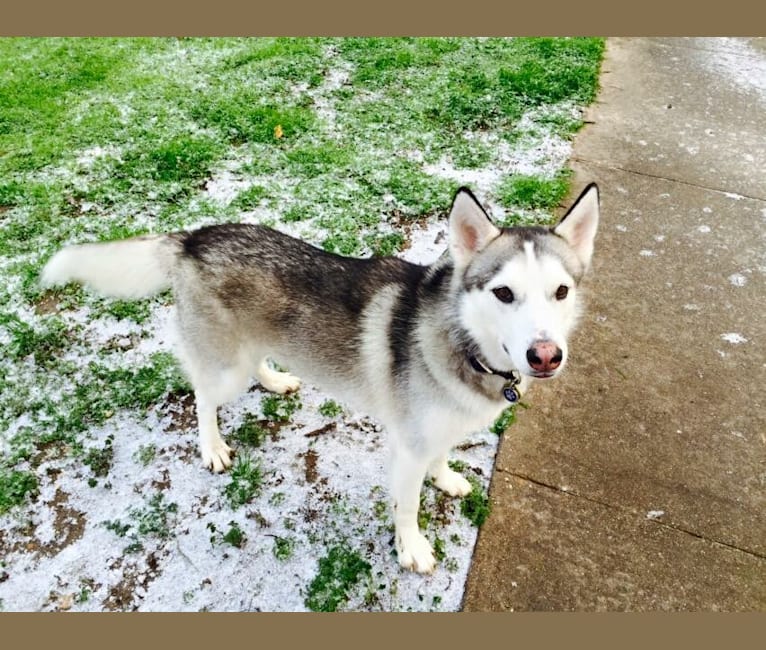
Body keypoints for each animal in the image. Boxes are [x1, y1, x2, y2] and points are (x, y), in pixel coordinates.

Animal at [43, 184, 600, 572]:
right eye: (504, 293)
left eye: (561, 291)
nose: (545, 356)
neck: (464, 343)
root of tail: (194, 238)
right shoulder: (407, 447)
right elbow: (407, 506)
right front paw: (412, 548)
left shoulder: (438, 429)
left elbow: (441, 458)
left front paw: (446, 479)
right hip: (225, 368)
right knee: (202, 396)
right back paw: (212, 446)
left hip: (251, 345)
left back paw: (274, 382)